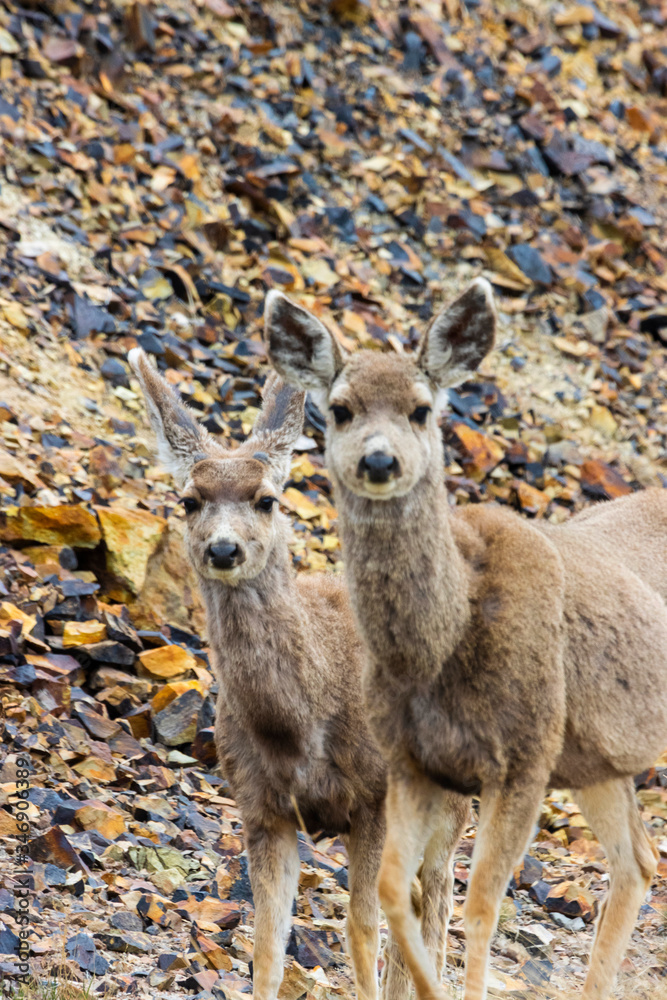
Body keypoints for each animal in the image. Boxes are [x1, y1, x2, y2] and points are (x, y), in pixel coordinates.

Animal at [128, 350, 468, 1000]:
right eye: (189, 500)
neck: (304, 719)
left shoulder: (376, 798)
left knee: (438, 905)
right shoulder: (260, 806)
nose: (224, 550)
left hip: (453, 802)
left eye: (266, 499)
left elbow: (361, 930)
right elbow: (266, 944)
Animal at [266, 282, 667, 1000]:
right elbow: (397, 892)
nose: (378, 460)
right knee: (639, 863)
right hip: (599, 758)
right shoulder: (412, 762)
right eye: (339, 409)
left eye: (422, 409)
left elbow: (480, 905)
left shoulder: (525, 757)